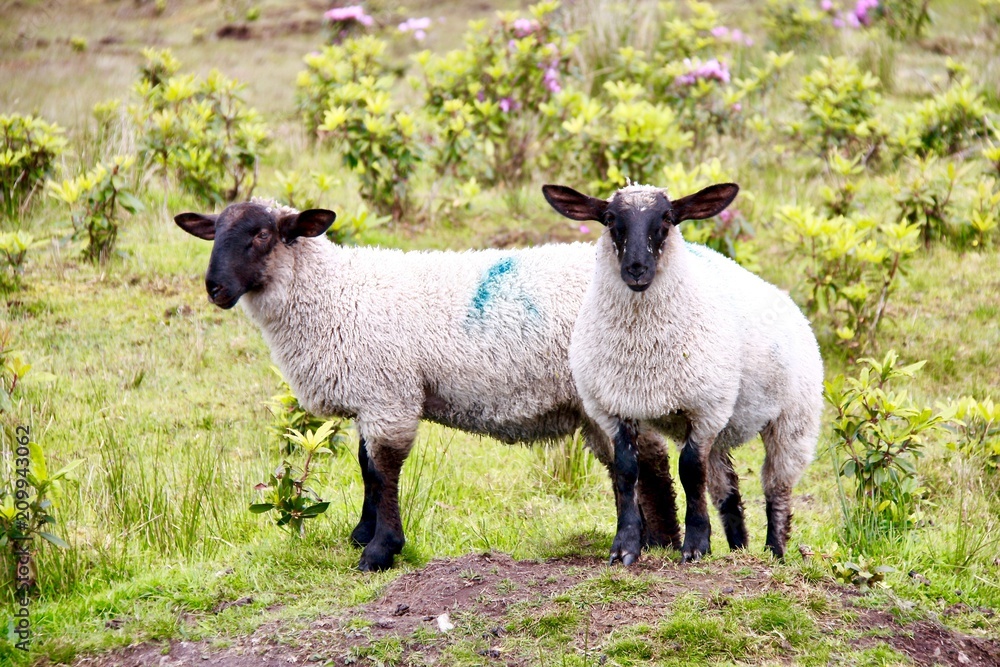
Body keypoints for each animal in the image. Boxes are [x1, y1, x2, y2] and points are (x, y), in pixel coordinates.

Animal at [174, 198, 681, 571]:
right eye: (214, 233)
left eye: (261, 234)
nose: (214, 288)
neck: (332, 293)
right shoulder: (373, 395)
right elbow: (365, 467)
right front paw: (362, 534)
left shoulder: (388, 393)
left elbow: (383, 469)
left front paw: (380, 550)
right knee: (630, 459)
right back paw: (650, 537)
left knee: (647, 457)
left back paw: (658, 539)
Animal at [543, 182, 824, 563]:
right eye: (610, 219)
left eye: (667, 218)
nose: (636, 269)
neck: (643, 354)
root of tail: (788, 301)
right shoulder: (613, 408)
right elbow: (627, 472)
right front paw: (624, 548)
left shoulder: (705, 409)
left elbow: (690, 472)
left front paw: (695, 546)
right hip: (725, 428)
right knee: (727, 490)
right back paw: (738, 550)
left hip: (793, 419)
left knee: (776, 487)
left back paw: (774, 553)